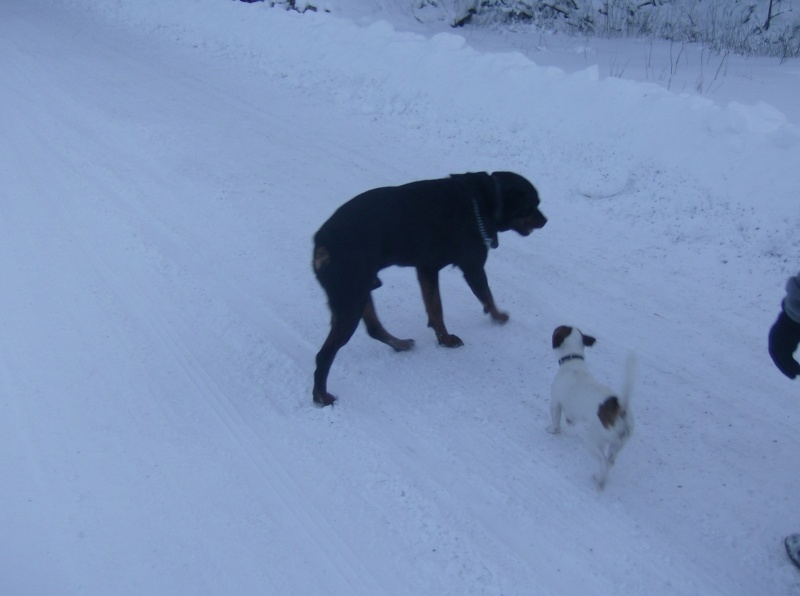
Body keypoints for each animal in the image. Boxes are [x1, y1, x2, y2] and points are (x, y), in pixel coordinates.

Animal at [310, 170, 548, 408]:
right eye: (532, 205)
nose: (546, 220)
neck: (486, 200)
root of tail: (321, 243)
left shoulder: (427, 268)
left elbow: (435, 308)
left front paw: (445, 340)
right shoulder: (472, 267)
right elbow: (486, 297)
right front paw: (498, 317)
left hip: (360, 291)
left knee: (373, 328)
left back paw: (400, 344)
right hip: (350, 299)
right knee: (325, 354)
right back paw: (322, 396)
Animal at [548, 326, 636, 488]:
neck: (573, 361)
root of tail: (620, 409)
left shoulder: (555, 403)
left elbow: (556, 421)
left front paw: (553, 430)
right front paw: (569, 422)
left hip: (595, 440)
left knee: (603, 461)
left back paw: (600, 480)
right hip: (617, 445)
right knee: (610, 461)